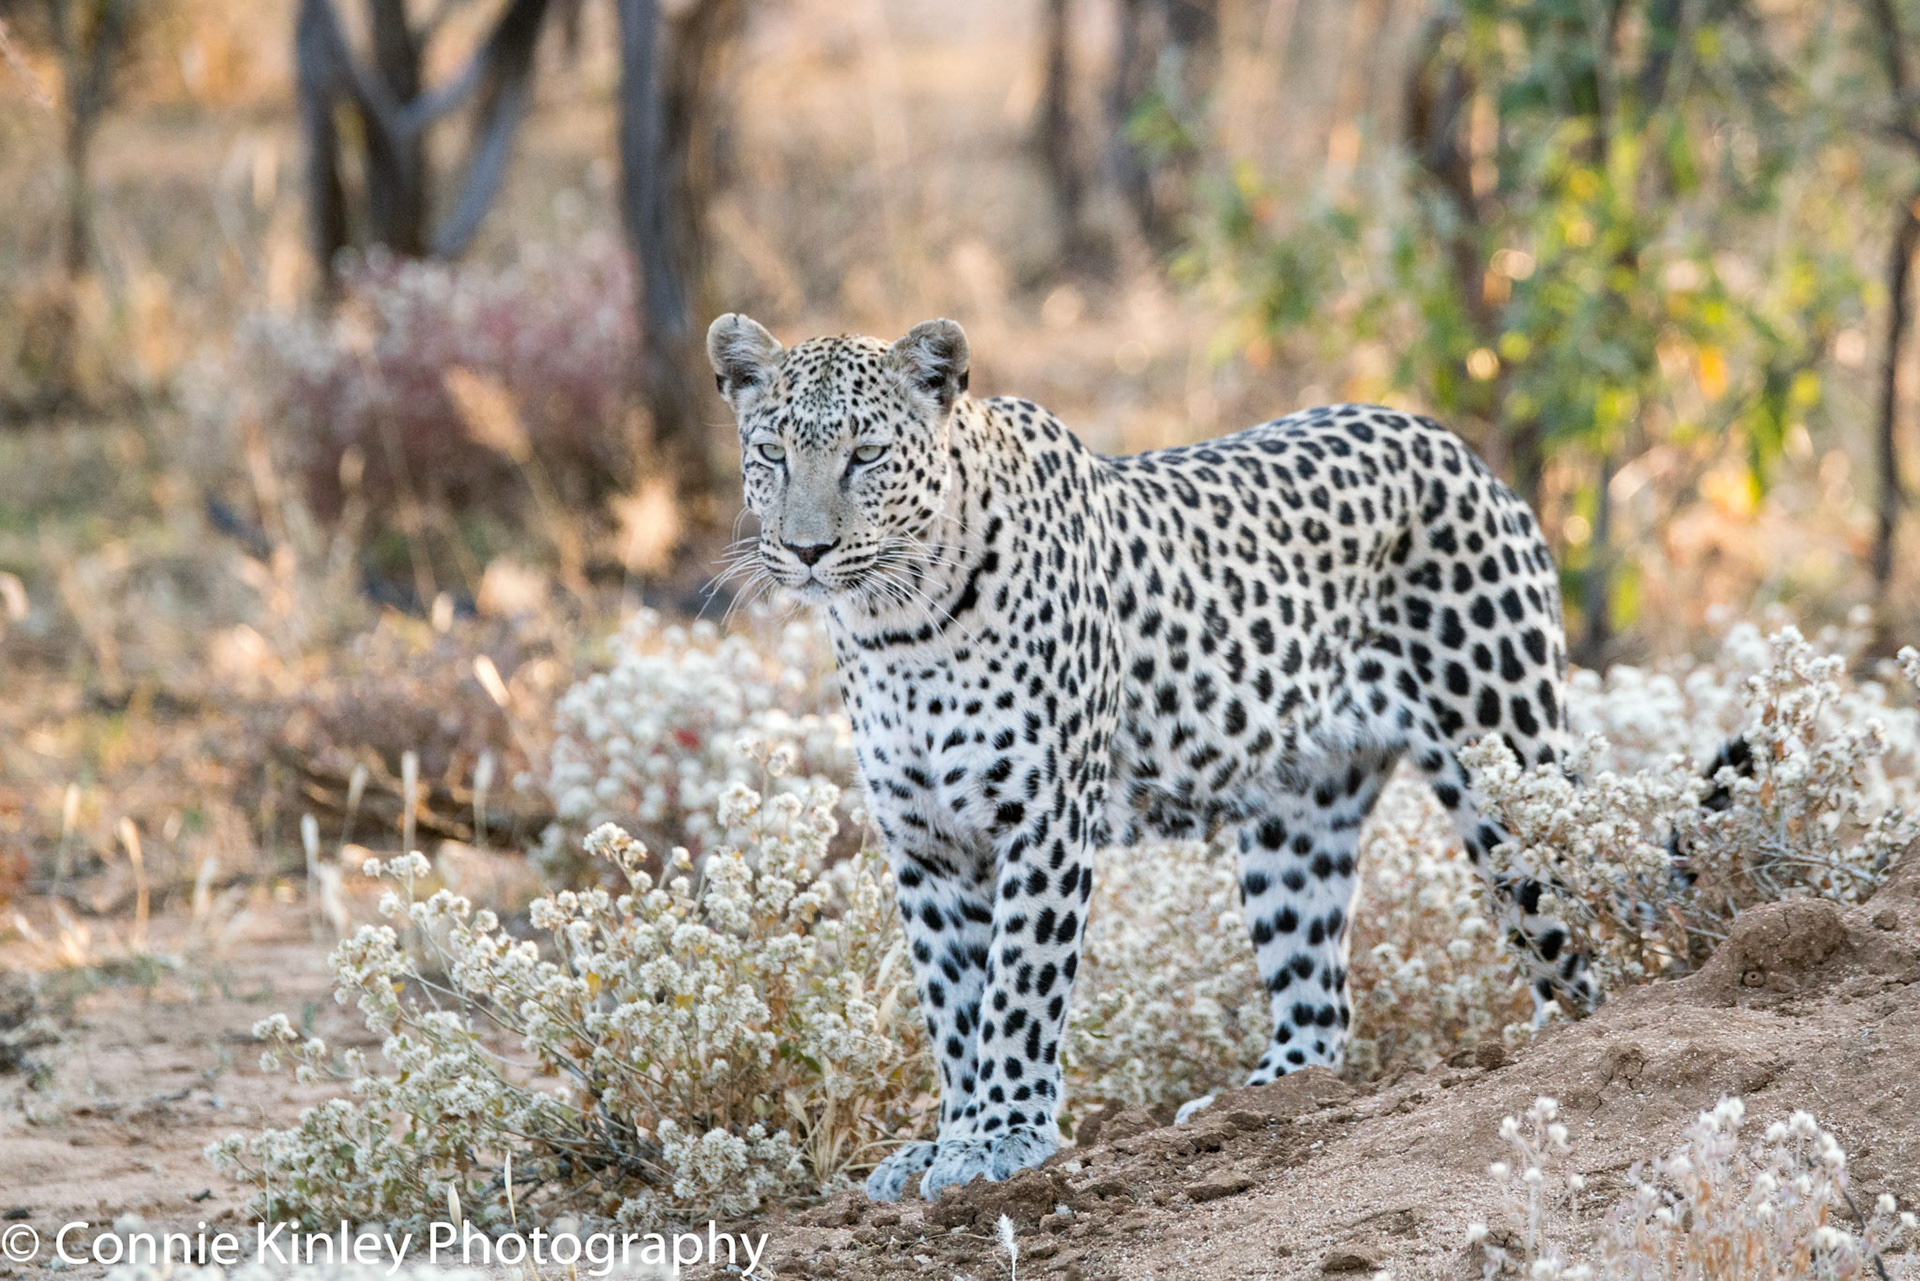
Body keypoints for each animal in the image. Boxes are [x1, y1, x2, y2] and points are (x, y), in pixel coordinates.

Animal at [706, 312, 1592, 1202]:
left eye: (867, 455)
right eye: (773, 452)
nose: (807, 549)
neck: (897, 623)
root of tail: (1448, 441)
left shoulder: (1044, 817)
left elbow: (1018, 988)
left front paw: (1002, 1136)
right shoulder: (926, 841)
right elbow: (952, 1003)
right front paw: (947, 1136)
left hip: (1504, 761)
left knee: (1574, 930)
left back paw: (1563, 1041)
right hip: (1297, 824)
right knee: (1320, 1000)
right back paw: (1260, 1099)